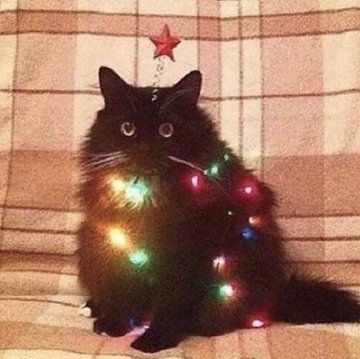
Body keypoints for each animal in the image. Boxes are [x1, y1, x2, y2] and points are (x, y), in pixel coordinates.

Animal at [77, 67, 358, 354]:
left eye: (166, 130)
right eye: (128, 129)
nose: (145, 148)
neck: (148, 195)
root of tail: (274, 296)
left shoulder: (185, 256)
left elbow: (170, 304)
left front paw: (156, 340)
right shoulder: (121, 246)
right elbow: (122, 292)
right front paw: (114, 324)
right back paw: (94, 308)